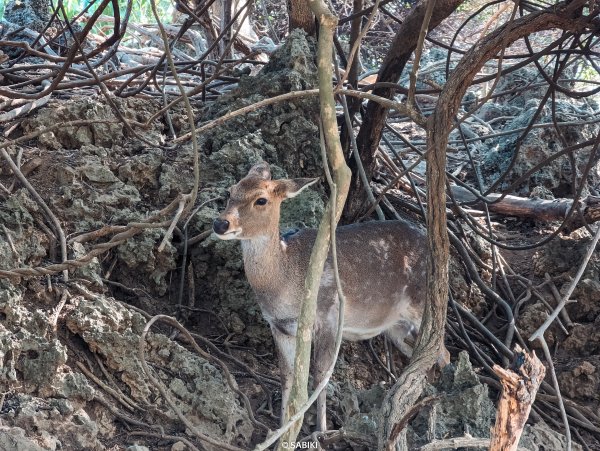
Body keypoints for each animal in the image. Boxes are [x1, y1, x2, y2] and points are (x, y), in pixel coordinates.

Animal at [212, 163, 446, 434]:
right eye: (230, 191)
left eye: (261, 199)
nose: (220, 224)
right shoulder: (279, 327)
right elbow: (287, 376)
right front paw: (283, 429)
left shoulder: (328, 317)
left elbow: (320, 374)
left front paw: (320, 430)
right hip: (396, 327)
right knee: (422, 356)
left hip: (423, 306)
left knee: (443, 353)